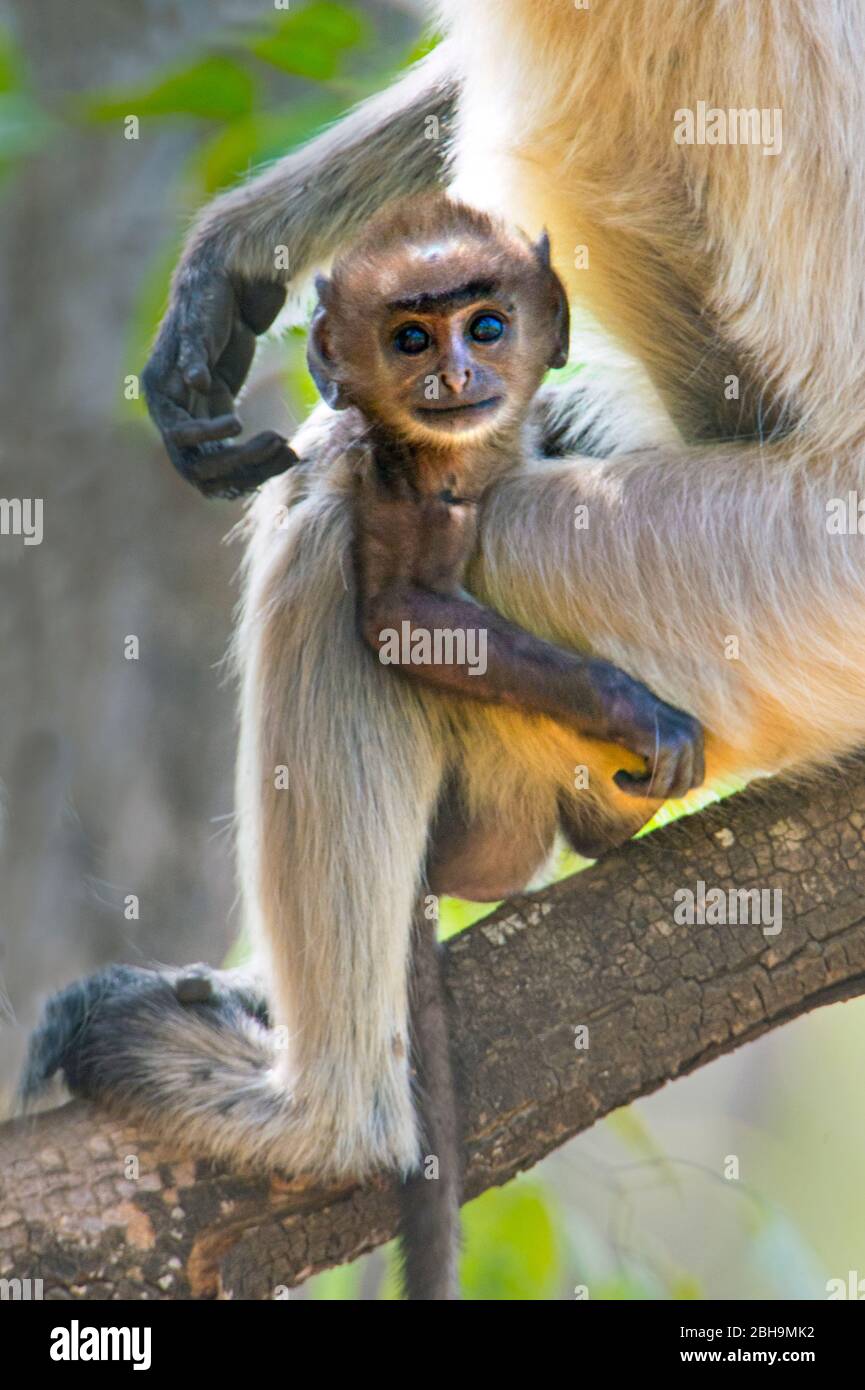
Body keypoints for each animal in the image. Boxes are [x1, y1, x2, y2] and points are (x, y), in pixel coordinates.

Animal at [21, 0, 865, 1300]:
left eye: (479, 327)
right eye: (421, 331)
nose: (459, 367)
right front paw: (234, 260)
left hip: (783, 593)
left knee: (335, 531)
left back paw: (324, 1120)